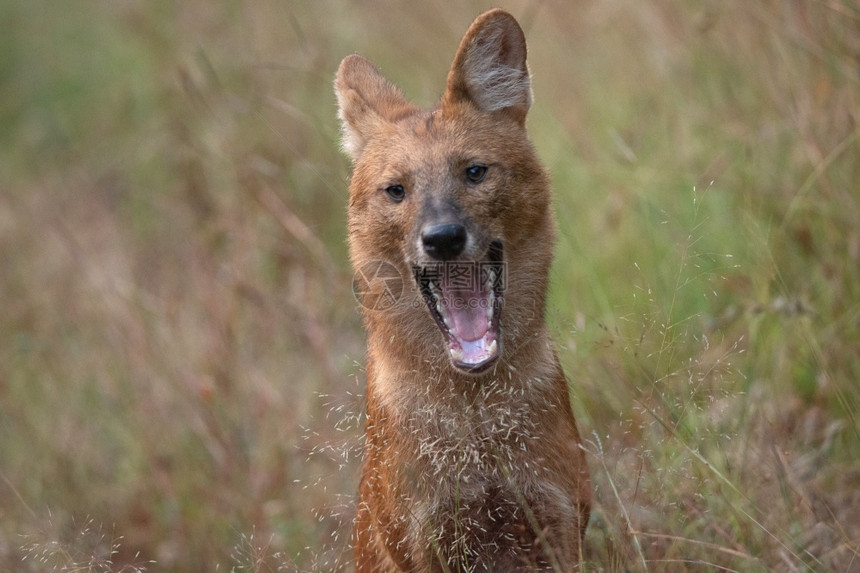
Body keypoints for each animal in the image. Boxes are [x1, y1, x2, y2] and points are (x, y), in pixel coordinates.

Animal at [336, 8, 592, 572]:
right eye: (396, 190)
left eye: (474, 172)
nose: (443, 238)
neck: (475, 418)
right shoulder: (426, 539)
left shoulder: (558, 518)